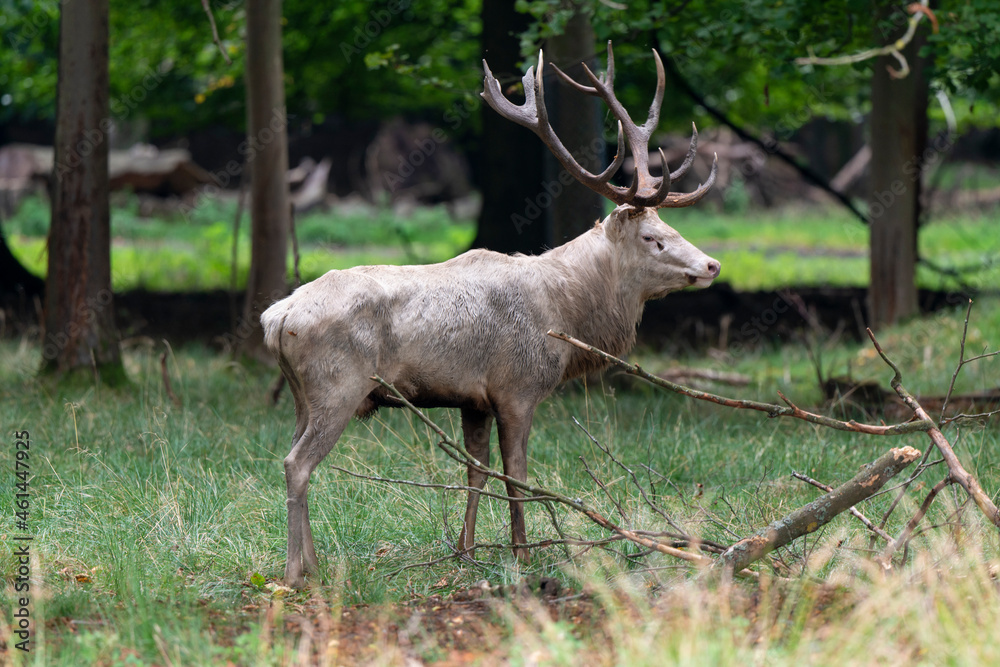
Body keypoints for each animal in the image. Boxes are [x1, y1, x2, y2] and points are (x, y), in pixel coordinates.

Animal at [262, 41, 720, 588]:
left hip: (301, 394)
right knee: (297, 463)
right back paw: (296, 572)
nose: (711, 264)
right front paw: (523, 555)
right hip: (338, 384)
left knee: (289, 454)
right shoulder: (517, 386)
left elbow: (476, 471)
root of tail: (277, 318)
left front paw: (466, 551)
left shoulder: (473, 398)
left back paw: (312, 564)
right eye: (654, 238)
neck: (565, 315)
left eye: (673, 227)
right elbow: (516, 474)